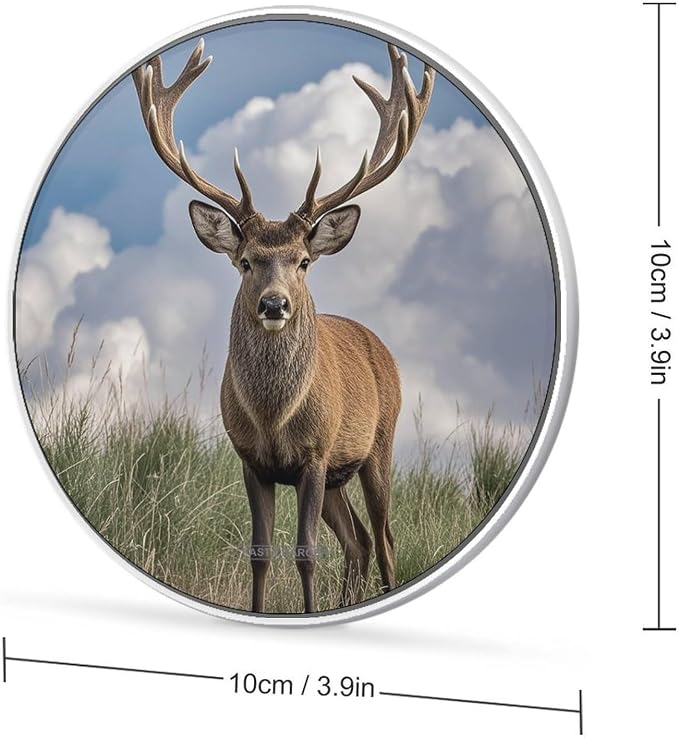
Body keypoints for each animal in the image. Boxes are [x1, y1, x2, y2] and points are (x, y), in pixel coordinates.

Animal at [132, 39, 434, 613]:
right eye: (246, 261)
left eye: (304, 261)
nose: (275, 305)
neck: (274, 418)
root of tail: (378, 345)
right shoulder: (252, 459)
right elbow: (261, 552)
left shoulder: (315, 454)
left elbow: (307, 552)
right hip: (340, 475)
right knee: (359, 541)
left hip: (378, 443)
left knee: (385, 538)